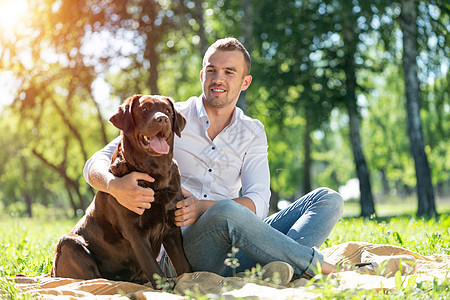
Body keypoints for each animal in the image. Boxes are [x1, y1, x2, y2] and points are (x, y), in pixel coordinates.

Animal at [51, 95, 191, 288]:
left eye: (168, 111)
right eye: (144, 109)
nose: (162, 119)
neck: (156, 175)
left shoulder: (172, 227)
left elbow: (184, 266)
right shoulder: (136, 233)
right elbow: (155, 270)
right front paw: (166, 289)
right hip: (69, 244)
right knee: (92, 279)